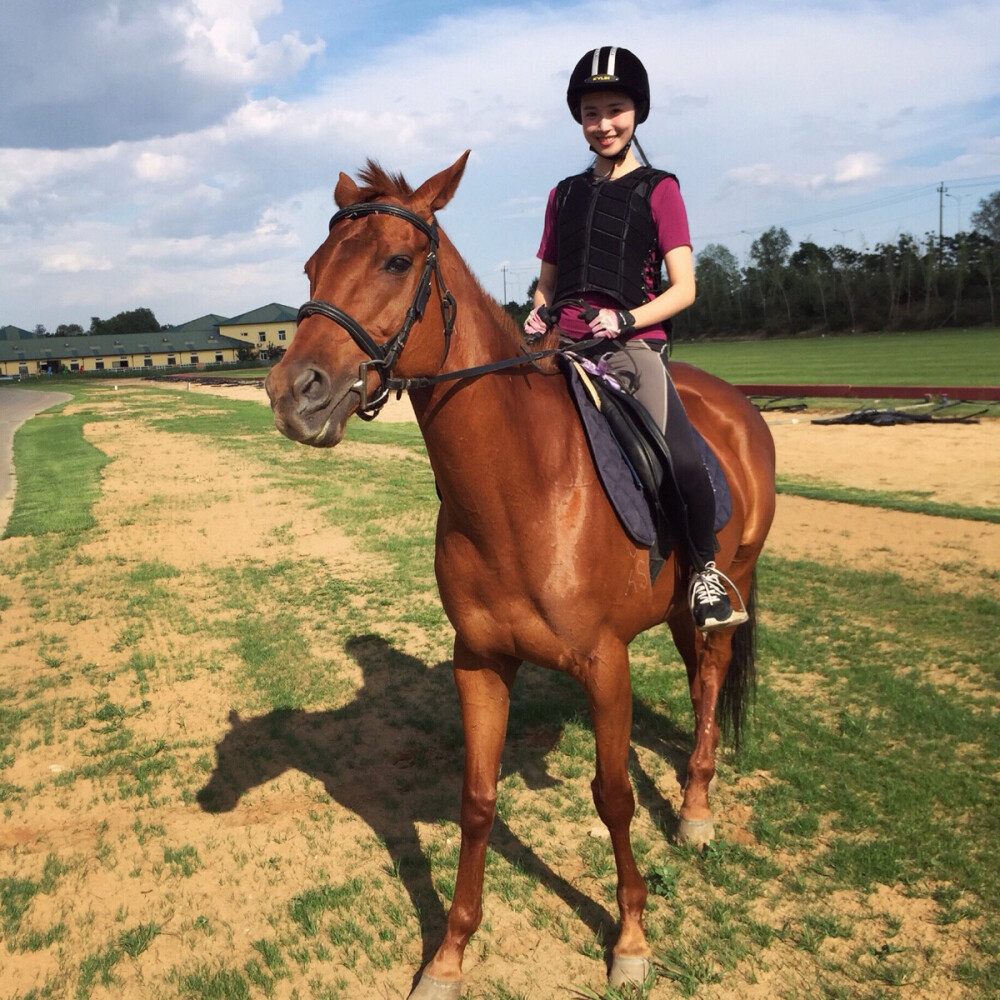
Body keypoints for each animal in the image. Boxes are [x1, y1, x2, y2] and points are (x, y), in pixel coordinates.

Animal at [264, 150, 772, 1000]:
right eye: (312, 266)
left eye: (396, 262)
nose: (291, 392)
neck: (525, 488)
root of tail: (739, 407)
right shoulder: (480, 661)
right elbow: (477, 800)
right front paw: (449, 954)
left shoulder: (606, 664)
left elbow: (613, 797)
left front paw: (630, 937)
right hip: (672, 608)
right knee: (698, 670)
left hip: (728, 577)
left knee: (710, 676)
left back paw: (696, 809)